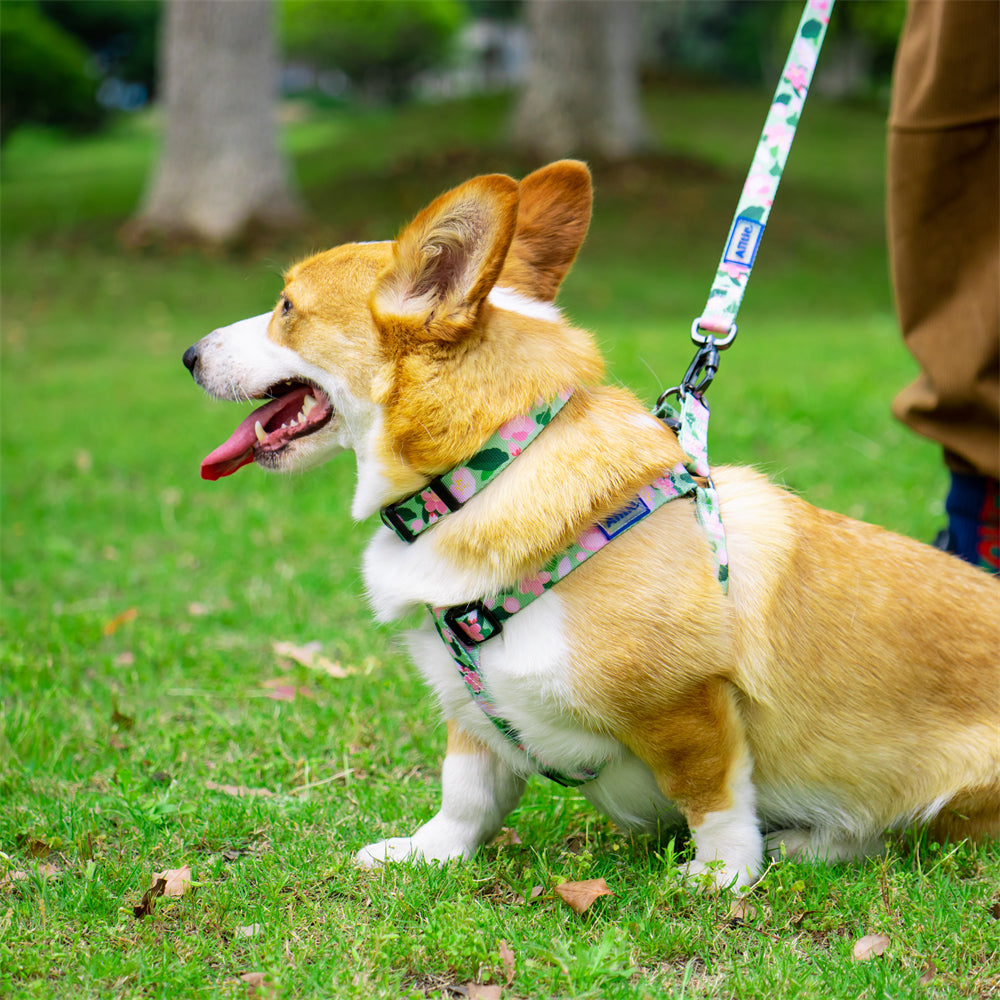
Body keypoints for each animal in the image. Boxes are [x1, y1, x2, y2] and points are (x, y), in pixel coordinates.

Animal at [186, 160, 1000, 888]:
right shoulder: (471, 712)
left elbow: (713, 796)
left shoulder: (686, 703)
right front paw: (427, 854)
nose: (189, 355)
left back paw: (807, 843)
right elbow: (466, 795)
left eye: (286, 307)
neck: (488, 471)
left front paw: (722, 878)